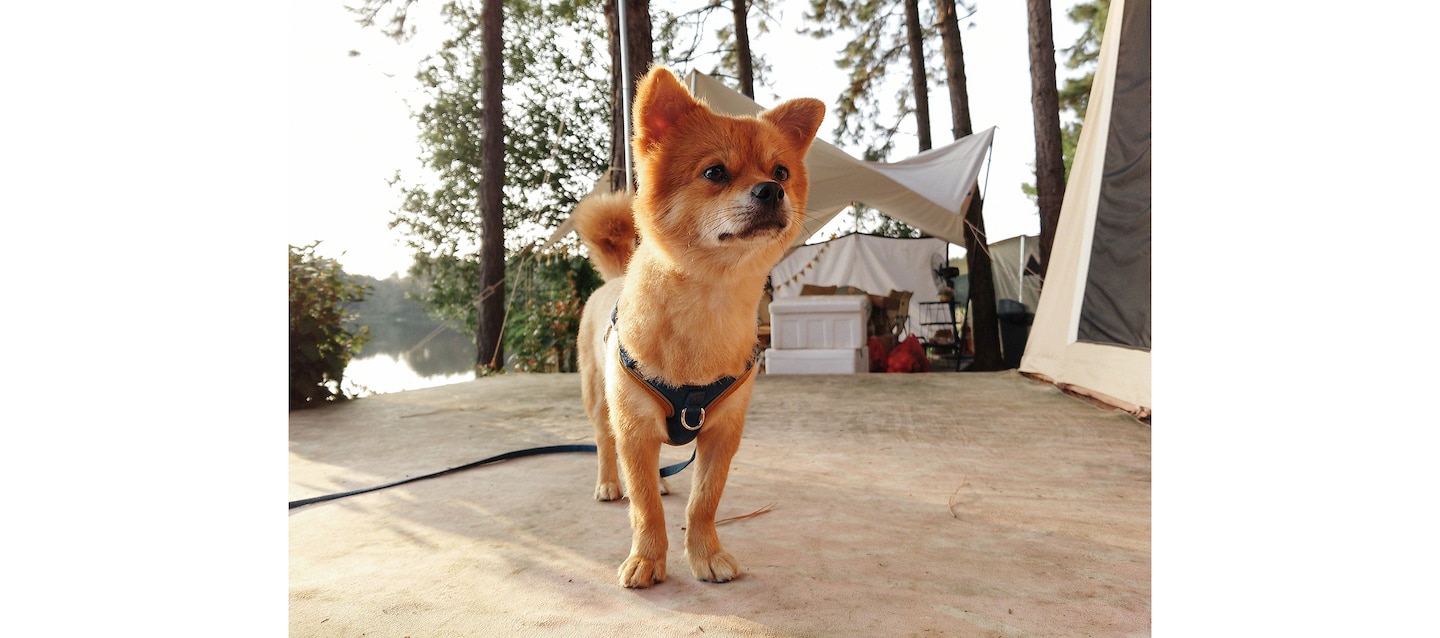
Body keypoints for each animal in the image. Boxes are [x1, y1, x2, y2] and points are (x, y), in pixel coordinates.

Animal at [570, 68, 823, 590]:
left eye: (781, 172)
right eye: (714, 173)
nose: (771, 190)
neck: (708, 304)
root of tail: (613, 279)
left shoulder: (722, 433)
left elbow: (704, 499)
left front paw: (705, 554)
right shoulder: (633, 427)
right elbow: (644, 508)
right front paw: (648, 558)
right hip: (599, 401)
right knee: (607, 445)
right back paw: (609, 482)